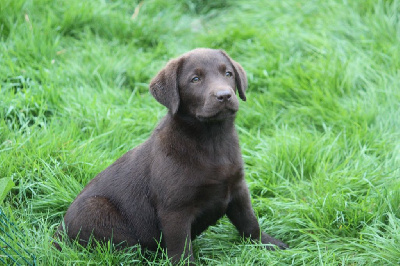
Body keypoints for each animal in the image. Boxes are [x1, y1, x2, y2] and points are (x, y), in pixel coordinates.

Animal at [56, 48, 288, 262]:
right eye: (195, 79)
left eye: (228, 73)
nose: (224, 95)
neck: (212, 140)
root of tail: (57, 236)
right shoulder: (175, 211)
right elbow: (181, 248)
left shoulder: (237, 188)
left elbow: (249, 222)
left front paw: (269, 245)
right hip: (96, 210)